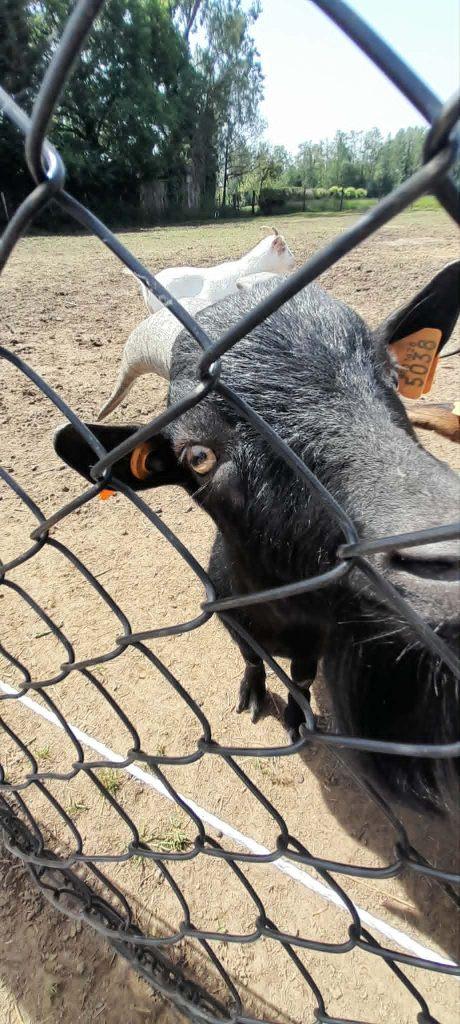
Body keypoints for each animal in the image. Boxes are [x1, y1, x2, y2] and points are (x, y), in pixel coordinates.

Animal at [55, 261, 460, 814]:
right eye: (198, 456)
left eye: (394, 379)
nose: (445, 557)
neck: (277, 613)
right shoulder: (232, 619)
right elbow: (251, 659)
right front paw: (250, 694)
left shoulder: (317, 638)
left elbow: (304, 676)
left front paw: (294, 715)